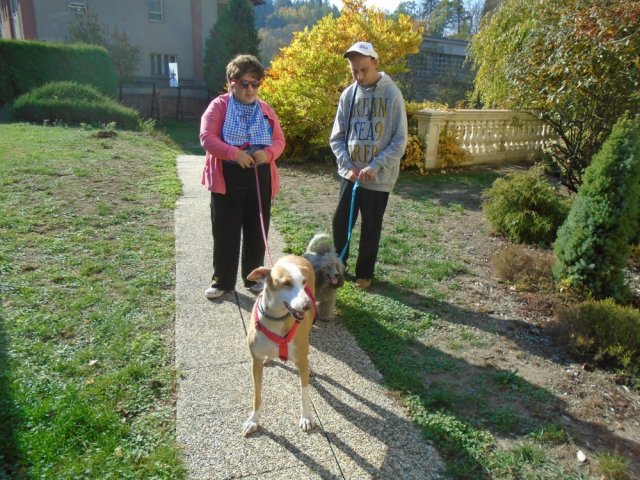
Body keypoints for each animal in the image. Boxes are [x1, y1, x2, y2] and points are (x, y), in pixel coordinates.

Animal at [243, 255, 316, 436]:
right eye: (286, 283)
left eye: (303, 282)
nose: (308, 305)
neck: (277, 319)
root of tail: (296, 256)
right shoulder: (255, 362)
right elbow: (257, 395)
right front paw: (254, 420)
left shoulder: (301, 361)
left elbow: (304, 393)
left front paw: (306, 417)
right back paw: (269, 358)